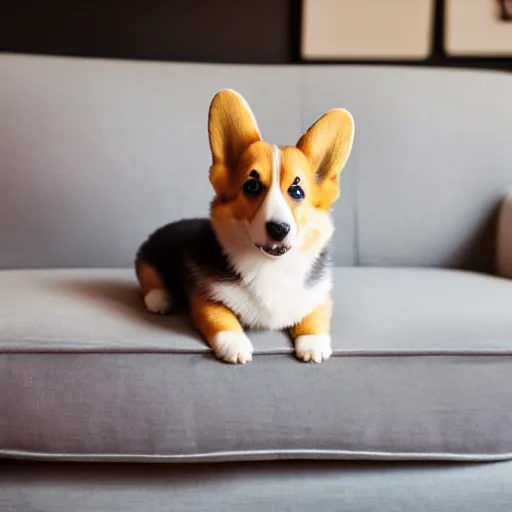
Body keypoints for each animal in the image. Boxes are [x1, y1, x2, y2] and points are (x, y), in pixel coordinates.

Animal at [134, 90, 354, 366]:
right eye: (252, 186)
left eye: (297, 191)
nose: (279, 229)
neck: (270, 266)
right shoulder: (204, 297)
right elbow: (220, 318)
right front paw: (235, 345)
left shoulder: (318, 294)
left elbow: (316, 315)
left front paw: (313, 345)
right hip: (147, 257)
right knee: (148, 277)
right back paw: (159, 299)